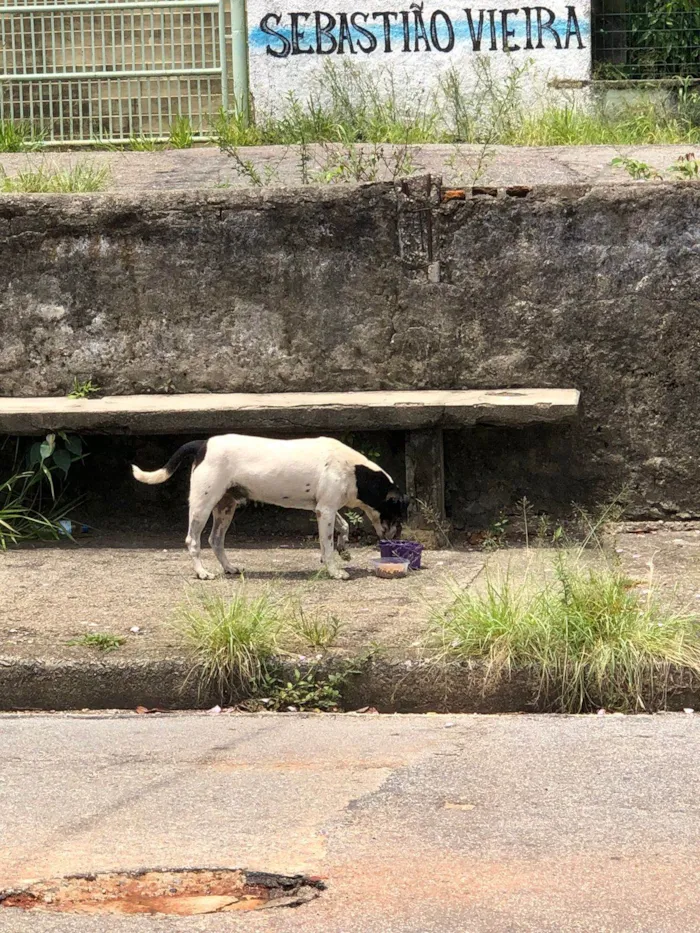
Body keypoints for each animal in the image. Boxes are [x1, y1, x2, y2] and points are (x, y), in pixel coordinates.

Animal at [132, 434, 408, 580]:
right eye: (397, 516)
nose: (398, 539)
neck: (353, 471)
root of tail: (202, 444)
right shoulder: (326, 510)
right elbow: (327, 545)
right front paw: (335, 570)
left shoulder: (323, 508)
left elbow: (344, 527)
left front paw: (344, 550)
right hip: (202, 503)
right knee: (193, 541)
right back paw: (202, 572)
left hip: (225, 508)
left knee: (215, 540)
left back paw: (229, 568)